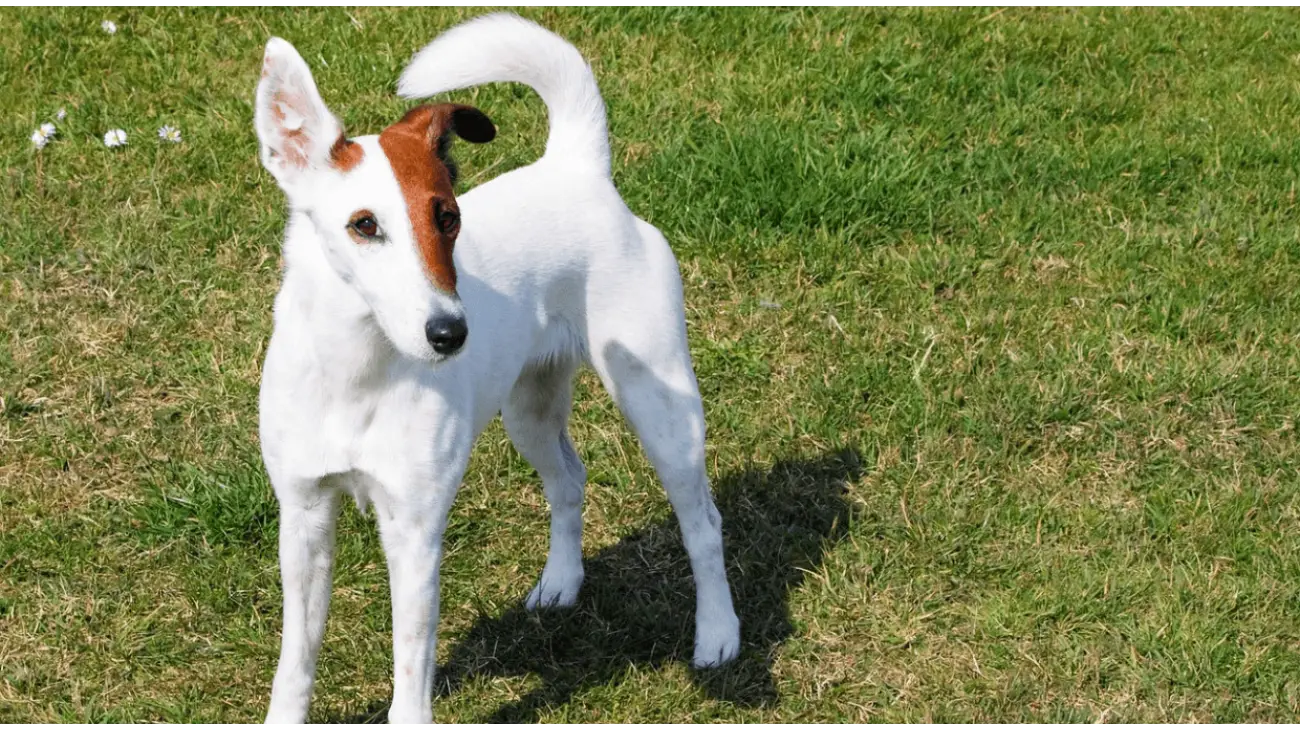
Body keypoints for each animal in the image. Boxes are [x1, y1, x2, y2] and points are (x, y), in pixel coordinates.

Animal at [253, 12, 743, 727]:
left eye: (448, 217)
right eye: (364, 226)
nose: (451, 333)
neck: (358, 373)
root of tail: (575, 167)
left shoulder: (413, 532)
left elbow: (410, 681)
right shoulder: (305, 518)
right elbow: (295, 665)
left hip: (661, 407)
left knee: (703, 524)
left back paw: (718, 635)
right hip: (529, 411)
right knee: (569, 479)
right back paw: (561, 582)